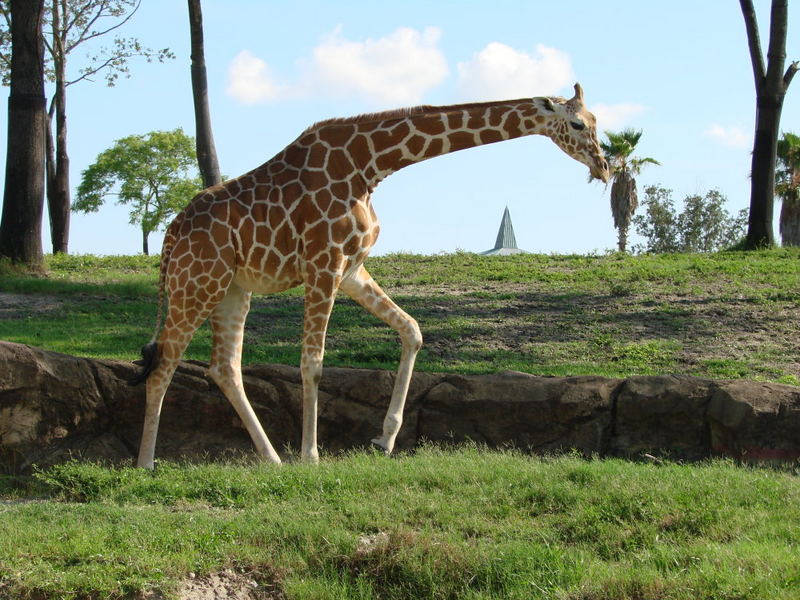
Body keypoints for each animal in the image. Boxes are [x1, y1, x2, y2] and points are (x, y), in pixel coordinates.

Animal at [131, 83, 608, 468]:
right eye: (577, 123)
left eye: (596, 122)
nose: (604, 167)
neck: (371, 164)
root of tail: (170, 238)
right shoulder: (322, 264)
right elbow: (313, 363)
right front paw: (311, 455)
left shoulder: (351, 268)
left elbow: (412, 330)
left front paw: (385, 439)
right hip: (197, 283)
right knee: (164, 364)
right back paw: (146, 463)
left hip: (232, 289)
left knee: (224, 368)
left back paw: (271, 459)